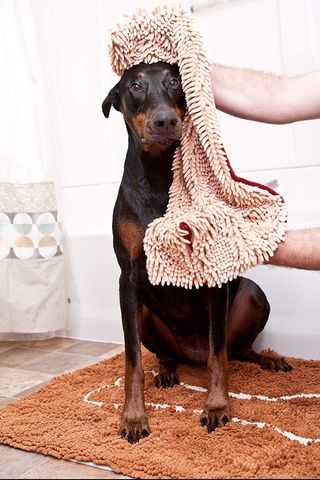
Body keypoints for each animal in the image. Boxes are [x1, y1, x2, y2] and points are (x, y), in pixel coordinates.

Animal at [103, 62, 292, 444]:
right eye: (134, 87)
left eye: (175, 80)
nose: (164, 121)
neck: (160, 173)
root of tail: (192, 355)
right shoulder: (128, 278)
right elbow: (132, 360)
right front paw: (133, 416)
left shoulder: (213, 271)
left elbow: (219, 356)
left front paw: (217, 406)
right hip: (147, 314)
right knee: (165, 354)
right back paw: (166, 371)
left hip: (253, 296)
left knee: (236, 351)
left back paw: (269, 359)